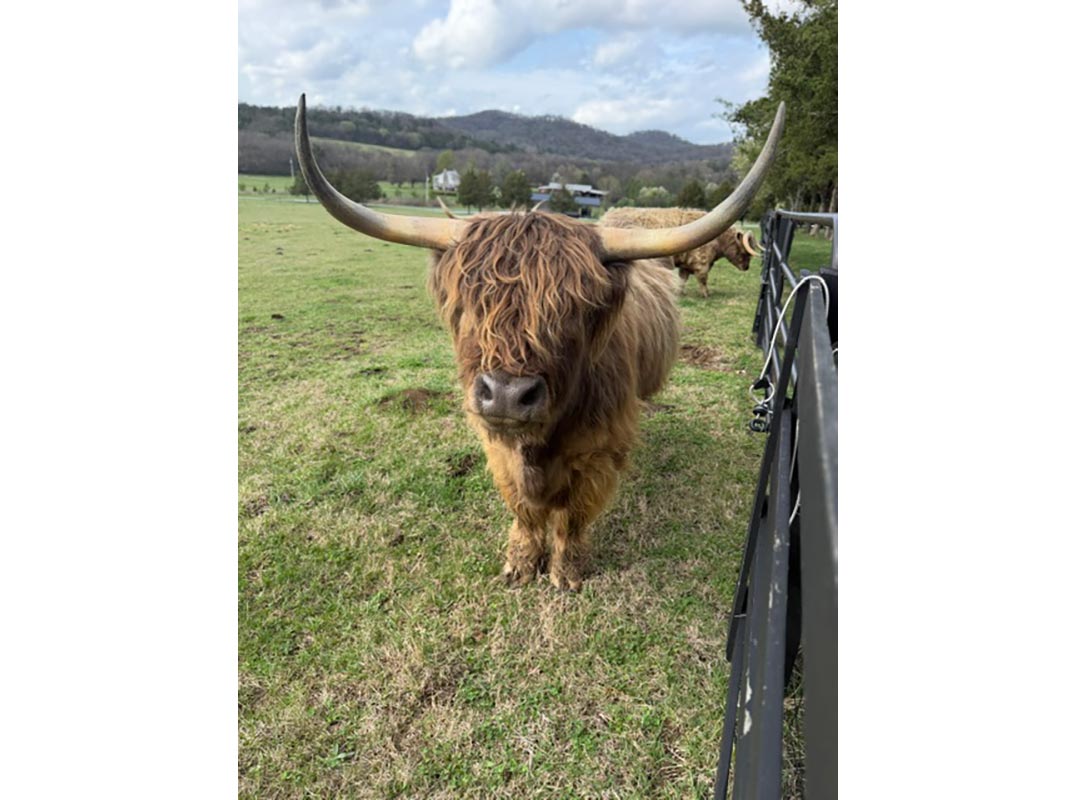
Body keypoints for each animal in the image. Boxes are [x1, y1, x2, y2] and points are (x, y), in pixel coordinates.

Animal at [600, 207, 762, 298]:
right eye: (746, 251)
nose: (746, 267)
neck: (718, 240)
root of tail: (607, 216)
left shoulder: (686, 265)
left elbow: (682, 280)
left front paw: (680, 293)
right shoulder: (702, 264)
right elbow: (703, 280)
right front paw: (706, 294)